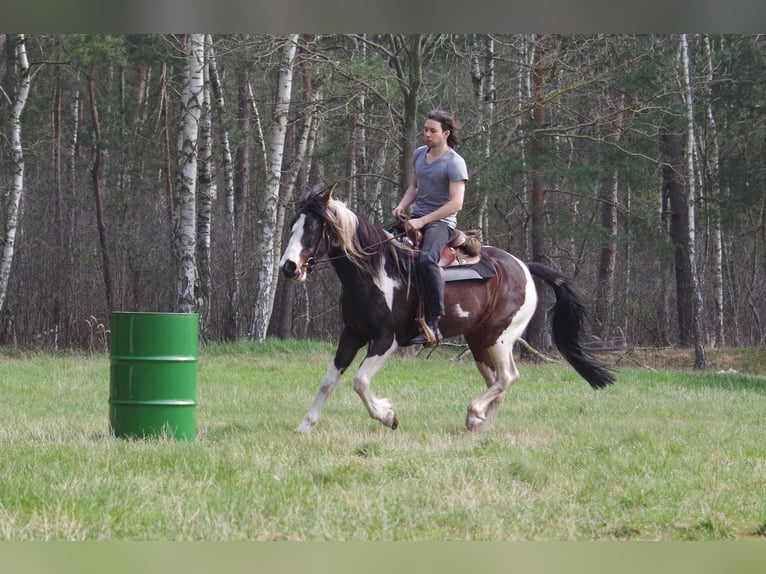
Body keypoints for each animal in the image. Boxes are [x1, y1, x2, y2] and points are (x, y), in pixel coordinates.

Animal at [280, 187, 616, 434]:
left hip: (500, 337)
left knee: (508, 376)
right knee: (497, 381)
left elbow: (360, 382)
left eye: (312, 227)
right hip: (479, 341)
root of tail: (523, 266)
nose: (288, 267)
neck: (376, 272)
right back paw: (482, 425)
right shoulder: (351, 335)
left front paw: (388, 416)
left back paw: (474, 413)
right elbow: (329, 381)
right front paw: (305, 426)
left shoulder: (386, 340)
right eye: (293, 225)